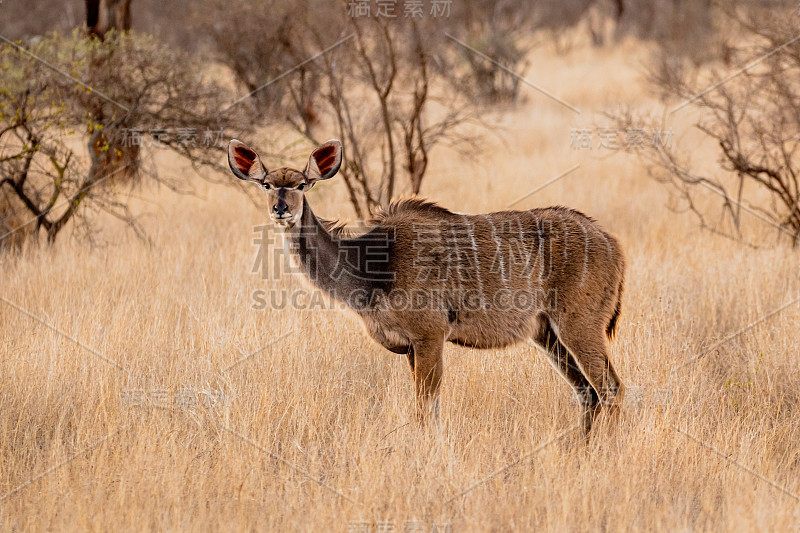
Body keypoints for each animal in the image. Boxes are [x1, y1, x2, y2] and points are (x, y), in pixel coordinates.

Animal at [228, 139, 628, 434]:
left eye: (301, 184)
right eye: (266, 184)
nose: (281, 209)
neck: (374, 265)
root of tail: (614, 246)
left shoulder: (430, 335)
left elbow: (426, 409)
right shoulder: (409, 347)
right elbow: (428, 410)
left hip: (579, 324)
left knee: (611, 388)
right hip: (547, 334)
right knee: (588, 393)